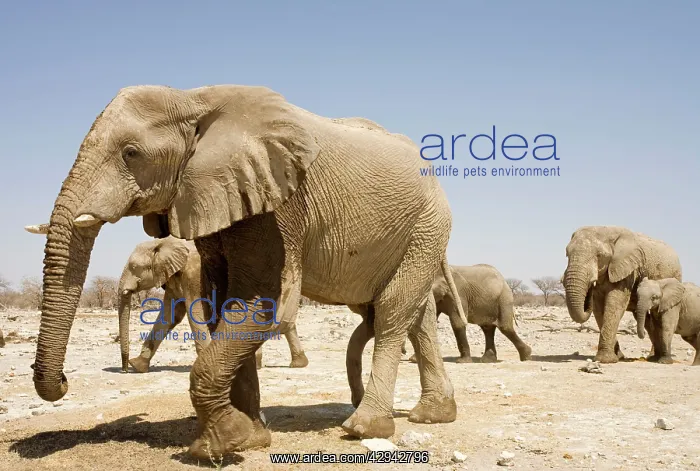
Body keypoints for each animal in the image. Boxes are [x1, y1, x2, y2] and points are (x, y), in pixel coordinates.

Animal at [24, 223, 309, 371]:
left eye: (134, 267)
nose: (124, 366)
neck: (163, 244)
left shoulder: (193, 272)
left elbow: (194, 312)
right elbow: (170, 315)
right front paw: (139, 366)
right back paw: (291, 364)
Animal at [346, 264, 532, 407]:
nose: (404, 352)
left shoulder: (457, 292)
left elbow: (457, 322)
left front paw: (462, 362)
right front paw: (414, 359)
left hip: (504, 299)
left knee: (504, 328)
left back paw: (526, 356)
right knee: (487, 328)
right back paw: (488, 360)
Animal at [562, 226, 682, 364]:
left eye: (600, 255)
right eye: (567, 254)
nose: (590, 285)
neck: (607, 229)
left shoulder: (628, 269)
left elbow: (615, 304)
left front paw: (605, 360)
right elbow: (599, 308)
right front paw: (617, 357)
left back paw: (655, 358)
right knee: (647, 321)